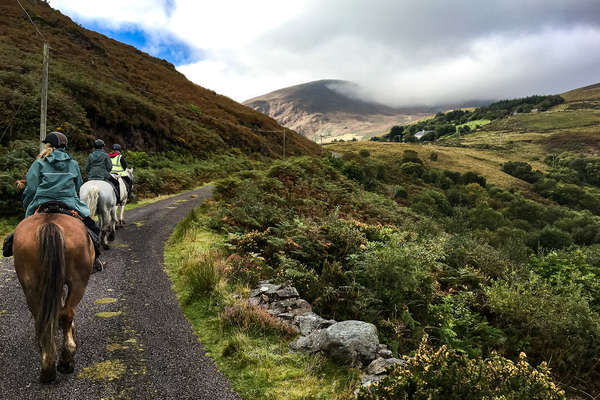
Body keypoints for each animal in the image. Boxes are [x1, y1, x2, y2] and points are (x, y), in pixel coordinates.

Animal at [13, 212, 94, 384]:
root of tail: (49, 223)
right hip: (79, 282)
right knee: (67, 313)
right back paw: (65, 361)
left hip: (31, 286)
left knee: (43, 317)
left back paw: (48, 366)